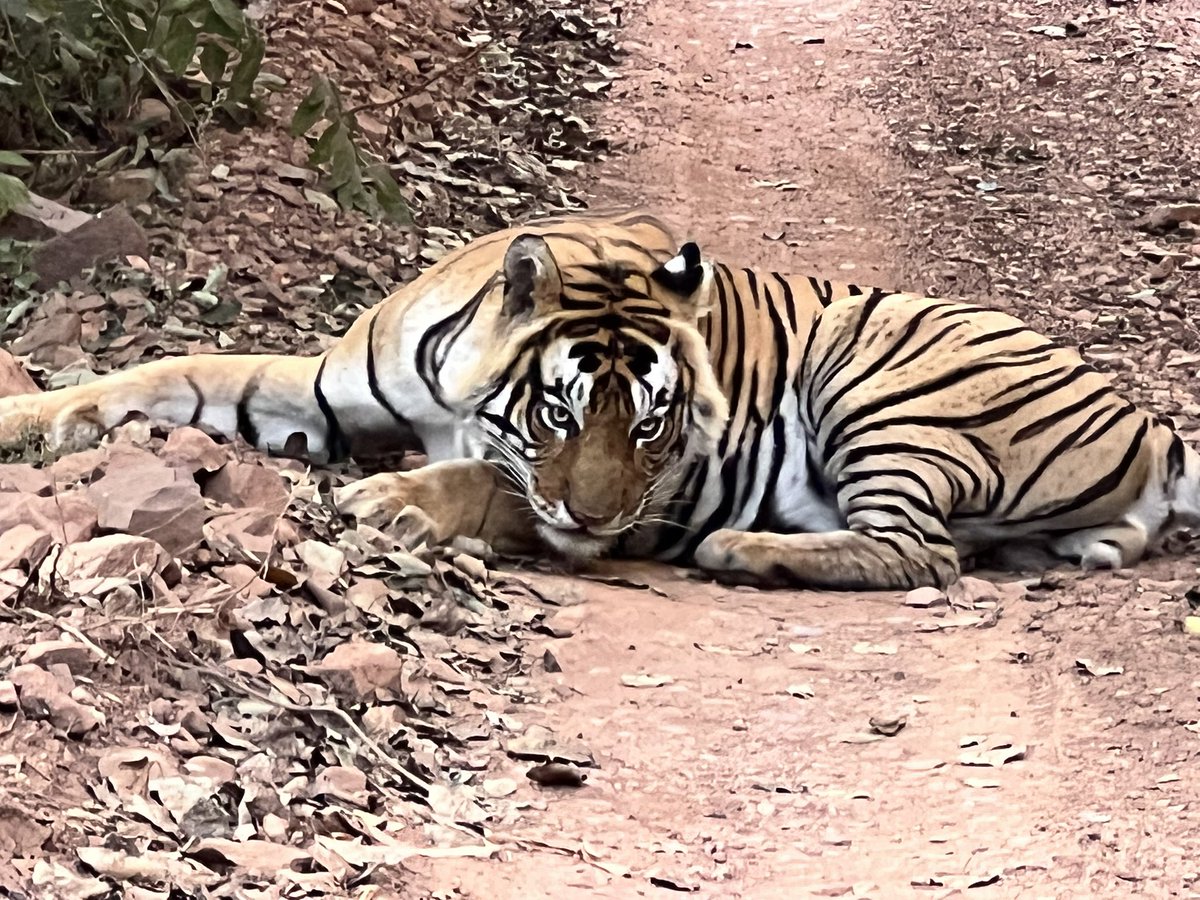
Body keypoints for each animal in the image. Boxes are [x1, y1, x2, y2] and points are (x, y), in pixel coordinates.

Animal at [0, 209, 1197, 590]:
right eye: (562, 414)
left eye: (655, 427)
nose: (602, 516)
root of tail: (1151, 423)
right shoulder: (325, 389)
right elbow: (172, 371)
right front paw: (31, 418)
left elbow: (488, 482)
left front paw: (399, 504)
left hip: (885, 377)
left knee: (922, 554)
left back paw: (746, 552)